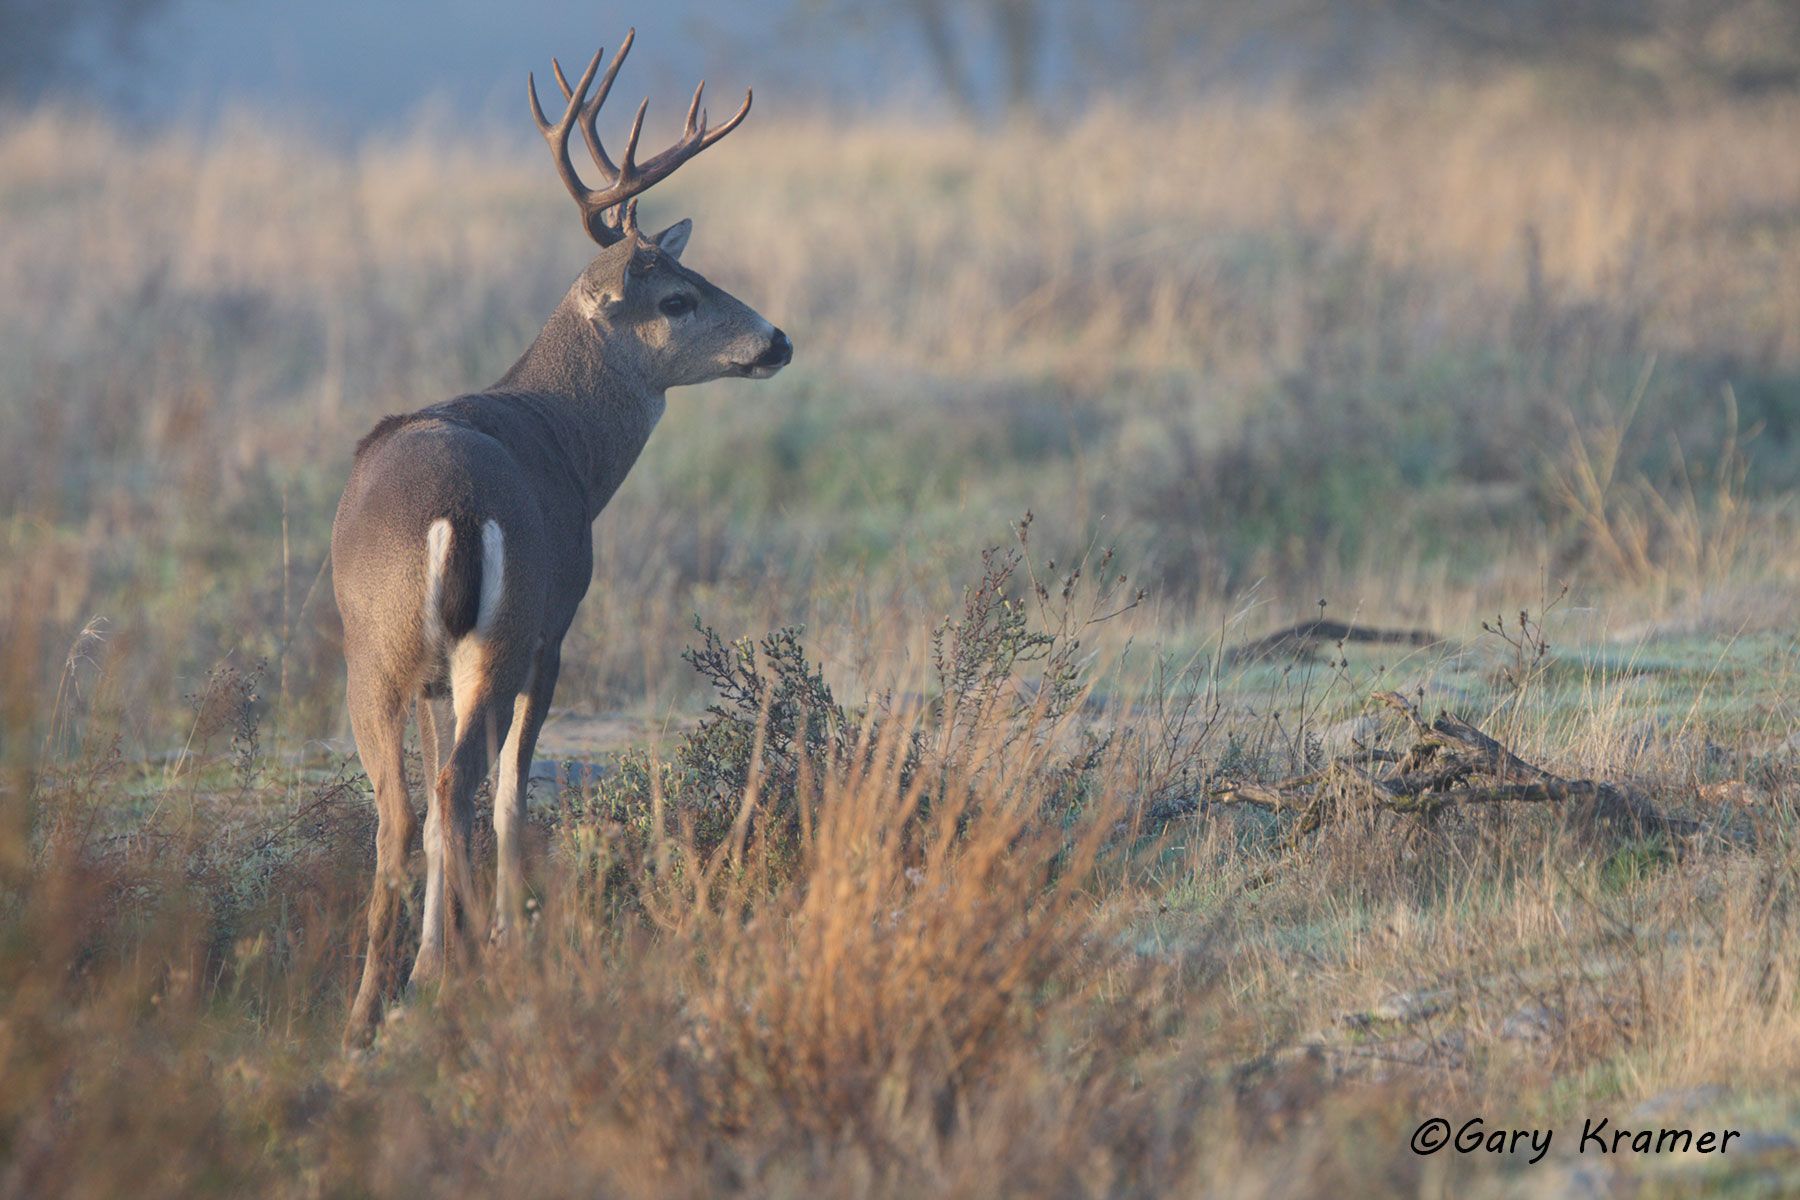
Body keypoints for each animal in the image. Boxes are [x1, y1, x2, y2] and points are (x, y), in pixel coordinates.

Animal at [330, 29, 791, 1046]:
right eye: (677, 298)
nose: (778, 340)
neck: (570, 445)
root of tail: (458, 508)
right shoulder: (557, 621)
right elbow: (511, 790)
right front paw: (503, 940)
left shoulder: (437, 674)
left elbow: (444, 798)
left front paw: (459, 947)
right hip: (499, 639)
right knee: (467, 788)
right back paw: (439, 976)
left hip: (381, 651)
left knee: (405, 807)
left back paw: (366, 1011)